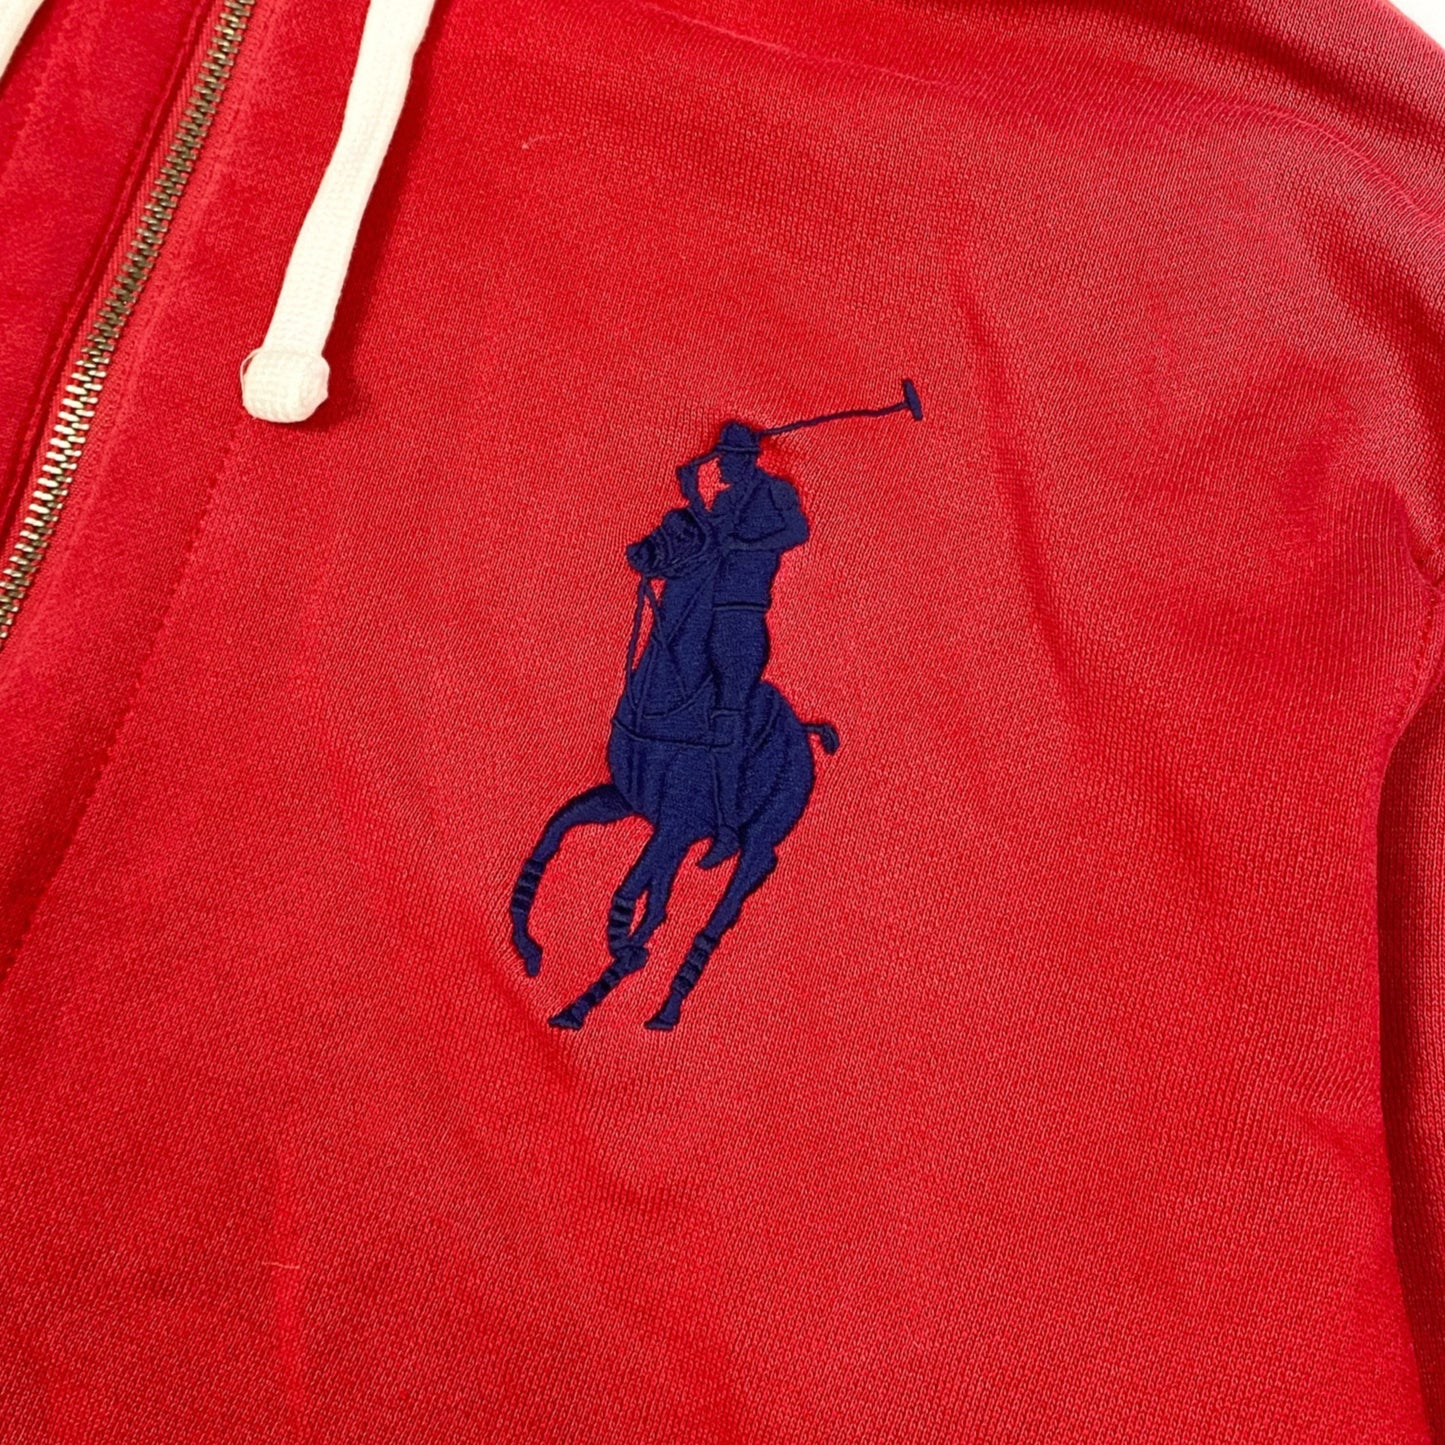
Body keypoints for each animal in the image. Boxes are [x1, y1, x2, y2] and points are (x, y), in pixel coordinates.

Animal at [509, 504, 838, 1032]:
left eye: (687, 536)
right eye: (667, 521)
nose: (636, 552)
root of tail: (803, 731)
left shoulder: (675, 824)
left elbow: (624, 897)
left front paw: (622, 953)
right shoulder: (632, 804)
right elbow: (556, 833)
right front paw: (530, 948)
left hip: (757, 847)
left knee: (716, 915)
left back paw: (663, 1009)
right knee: (659, 902)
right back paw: (585, 1001)